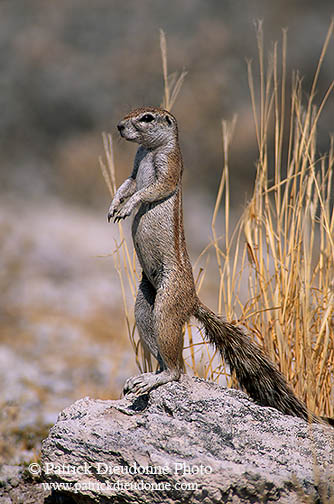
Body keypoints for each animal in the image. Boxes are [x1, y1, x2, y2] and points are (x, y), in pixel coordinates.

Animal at [107, 106, 328, 426]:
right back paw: (145, 377)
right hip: (144, 303)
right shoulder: (136, 167)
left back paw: (156, 379)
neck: (150, 150)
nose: (119, 127)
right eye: (132, 112)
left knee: (177, 369)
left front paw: (126, 206)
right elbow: (128, 182)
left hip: (167, 305)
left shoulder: (169, 167)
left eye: (147, 117)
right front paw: (114, 204)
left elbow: (148, 190)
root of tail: (192, 300)